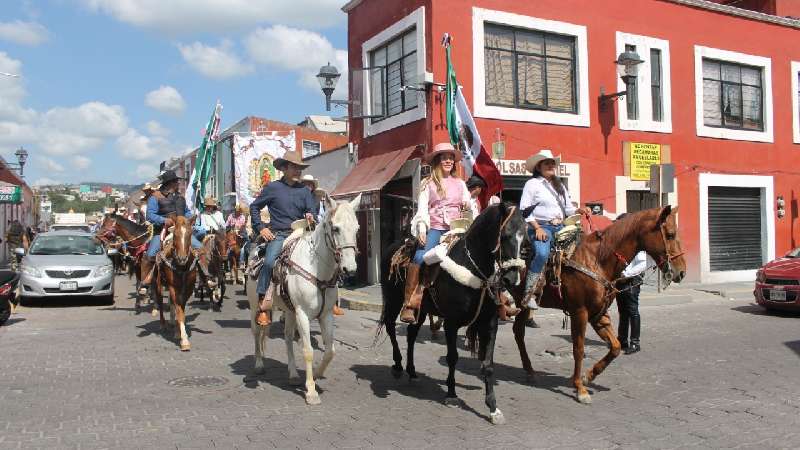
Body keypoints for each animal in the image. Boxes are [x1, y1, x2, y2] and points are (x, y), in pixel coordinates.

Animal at [152, 215, 198, 352]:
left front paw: (179, 332)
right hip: (159, 284)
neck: (182, 267)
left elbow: (181, 309)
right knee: (160, 301)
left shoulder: (188, 289)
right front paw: (184, 340)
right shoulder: (173, 287)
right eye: (176, 235)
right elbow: (179, 311)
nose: (182, 258)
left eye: (190, 234)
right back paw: (163, 324)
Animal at [247, 195, 362, 406]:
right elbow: (308, 350)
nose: (350, 269)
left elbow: (330, 351)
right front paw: (311, 391)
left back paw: (292, 374)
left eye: (357, 229)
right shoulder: (303, 314)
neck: (317, 271)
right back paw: (259, 364)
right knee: (257, 332)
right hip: (255, 307)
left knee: (286, 337)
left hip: (288, 310)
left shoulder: (325, 315)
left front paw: (316, 375)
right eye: (336, 228)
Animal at [378, 202, 528, 424]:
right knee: (390, 326)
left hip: (421, 310)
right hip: (394, 300)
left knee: (412, 335)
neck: (473, 268)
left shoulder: (490, 323)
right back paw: (397, 366)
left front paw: (493, 408)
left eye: (524, 238)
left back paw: (412, 372)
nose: (512, 278)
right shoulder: (451, 322)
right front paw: (451, 394)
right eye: (505, 235)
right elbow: (452, 357)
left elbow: (488, 365)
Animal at [510, 206, 684, 402]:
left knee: (518, 331)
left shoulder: (598, 313)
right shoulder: (580, 312)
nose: (682, 272)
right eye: (670, 235)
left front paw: (588, 376)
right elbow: (578, 348)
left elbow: (615, 346)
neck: (598, 259)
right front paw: (580, 388)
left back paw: (530, 371)